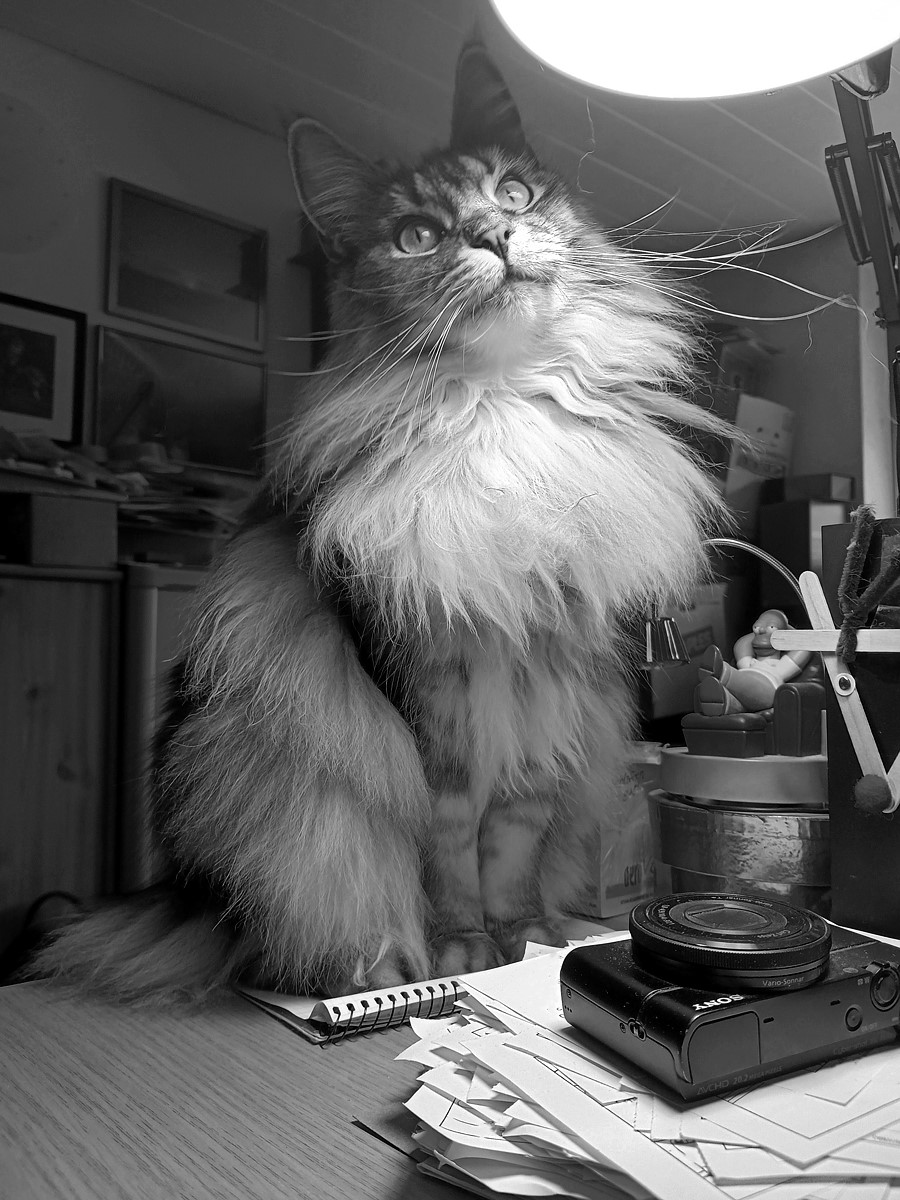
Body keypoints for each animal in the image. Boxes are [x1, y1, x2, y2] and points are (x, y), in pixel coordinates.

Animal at [33, 42, 729, 1003]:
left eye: (514, 193)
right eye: (418, 238)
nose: (495, 235)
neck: (503, 411)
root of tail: (190, 898)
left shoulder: (547, 690)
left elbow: (513, 846)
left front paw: (524, 942)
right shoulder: (433, 703)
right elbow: (451, 847)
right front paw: (461, 953)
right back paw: (373, 968)